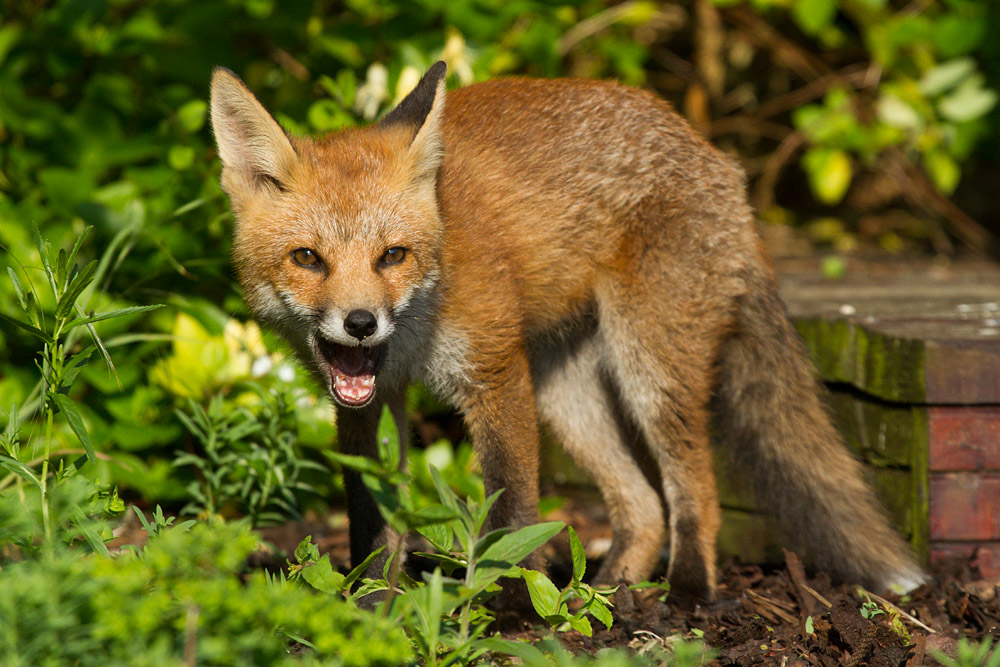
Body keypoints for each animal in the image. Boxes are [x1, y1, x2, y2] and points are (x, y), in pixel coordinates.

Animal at [209, 61, 925, 602]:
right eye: (307, 258)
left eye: (393, 256)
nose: (361, 323)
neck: (416, 330)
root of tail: (710, 151)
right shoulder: (370, 402)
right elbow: (371, 512)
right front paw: (374, 602)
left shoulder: (494, 371)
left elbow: (511, 507)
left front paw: (508, 608)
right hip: (567, 395)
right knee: (643, 507)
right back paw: (608, 593)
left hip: (648, 370)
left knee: (693, 484)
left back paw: (687, 593)